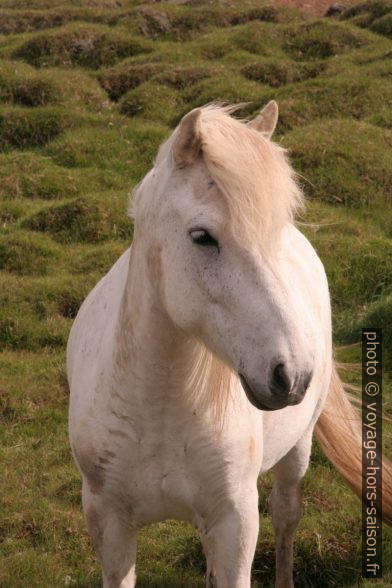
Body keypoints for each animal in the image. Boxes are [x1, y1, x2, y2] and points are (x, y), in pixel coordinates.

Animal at [68, 103, 392, 584]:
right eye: (202, 236)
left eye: (275, 232)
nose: (293, 374)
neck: (157, 410)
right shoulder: (110, 525)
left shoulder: (235, 524)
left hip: (297, 452)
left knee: (286, 514)